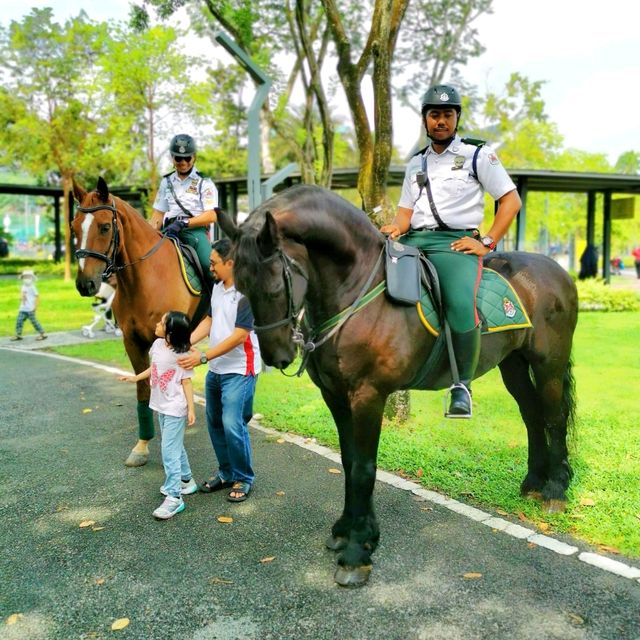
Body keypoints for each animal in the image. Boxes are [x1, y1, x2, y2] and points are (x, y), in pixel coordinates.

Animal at [73, 176, 208, 464]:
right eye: (74, 226)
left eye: (104, 227)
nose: (85, 284)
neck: (145, 278)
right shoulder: (132, 341)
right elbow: (144, 391)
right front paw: (142, 446)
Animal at [218, 182, 576, 588]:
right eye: (240, 286)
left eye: (277, 286)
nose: (277, 356)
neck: (357, 290)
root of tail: (554, 270)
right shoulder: (335, 395)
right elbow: (348, 460)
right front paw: (351, 530)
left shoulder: (368, 396)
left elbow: (363, 467)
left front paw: (356, 552)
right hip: (512, 364)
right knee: (532, 416)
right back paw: (533, 482)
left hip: (548, 364)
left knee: (553, 418)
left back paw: (555, 489)